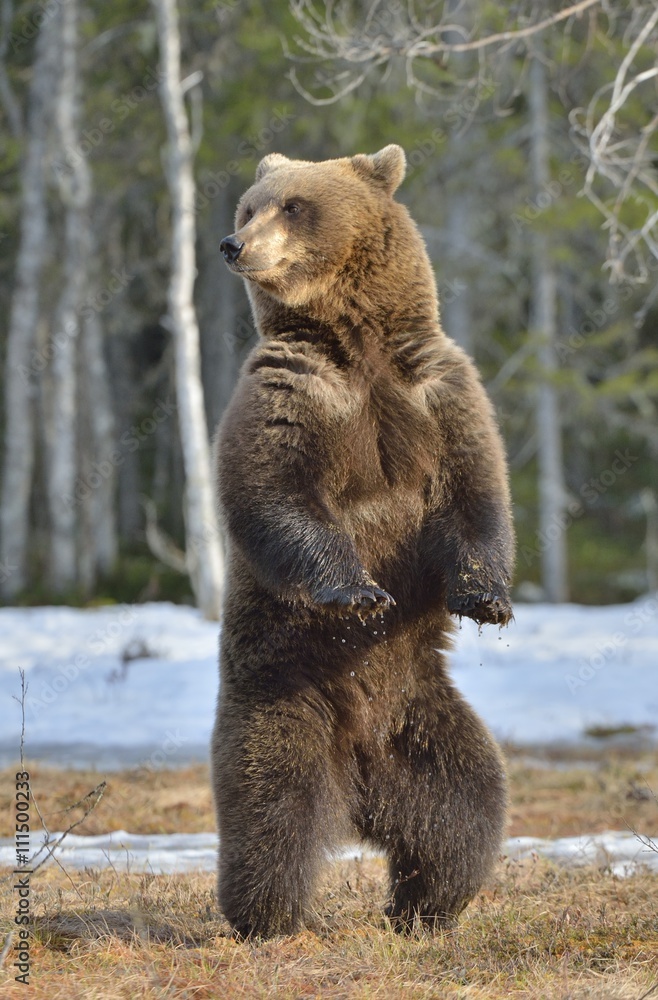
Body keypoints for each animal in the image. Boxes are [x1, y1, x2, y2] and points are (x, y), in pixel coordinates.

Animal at [212, 144, 514, 939]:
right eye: (248, 206)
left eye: (292, 205)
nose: (233, 245)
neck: (357, 343)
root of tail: (359, 783)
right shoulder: (294, 392)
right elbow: (274, 493)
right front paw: (359, 591)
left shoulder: (437, 390)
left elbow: (476, 493)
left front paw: (488, 600)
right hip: (282, 694)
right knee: (271, 810)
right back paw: (267, 917)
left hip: (424, 723)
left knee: (465, 809)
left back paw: (424, 907)